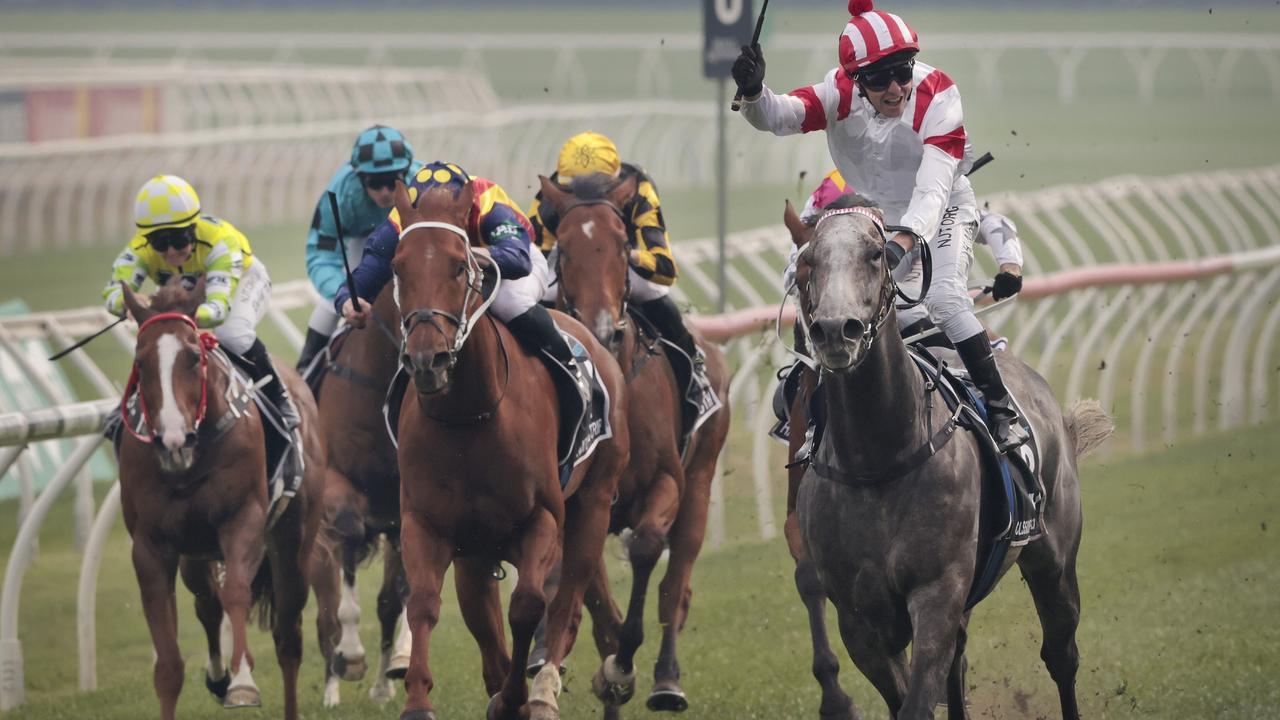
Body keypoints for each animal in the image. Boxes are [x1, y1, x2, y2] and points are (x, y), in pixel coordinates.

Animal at [116, 279, 325, 717]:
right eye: (140, 362)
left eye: (194, 357)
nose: (173, 440)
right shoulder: (150, 546)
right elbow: (168, 664)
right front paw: (217, 677)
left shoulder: (243, 520)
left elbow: (237, 593)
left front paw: (243, 683)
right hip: (195, 555)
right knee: (206, 602)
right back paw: (216, 675)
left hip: (293, 542)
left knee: (288, 636)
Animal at [307, 283, 412, 702]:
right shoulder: (335, 491)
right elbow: (350, 532)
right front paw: (350, 654)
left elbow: (395, 599)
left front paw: (392, 672)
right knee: (325, 614)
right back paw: (331, 690)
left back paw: (382, 685)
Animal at [389, 178, 629, 717]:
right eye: (398, 266)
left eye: (459, 265)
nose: (427, 360)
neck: (470, 417)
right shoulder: (429, 523)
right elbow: (425, 604)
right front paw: (418, 698)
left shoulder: (542, 517)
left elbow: (528, 607)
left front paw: (519, 694)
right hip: (478, 547)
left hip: (593, 504)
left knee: (569, 600)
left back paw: (546, 690)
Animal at [532, 172, 732, 712]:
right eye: (562, 251)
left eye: (623, 243)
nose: (604, 329)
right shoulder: (585, 502)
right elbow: (592, 598)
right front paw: (607, 669)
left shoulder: (667, 481)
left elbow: (645, 549)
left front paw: (625, 663)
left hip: (701, 481)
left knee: (676, 585)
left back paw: (666, 679)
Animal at [788, 197, 1111, 717]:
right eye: (807, 263)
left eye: (876, 254)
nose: (837, 331)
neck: (876, 460)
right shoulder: (858, 620)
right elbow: (904, 696)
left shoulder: (937, 593)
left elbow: (921, 700)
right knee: (960, 668)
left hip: (1054, 561)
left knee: (1062, 655)